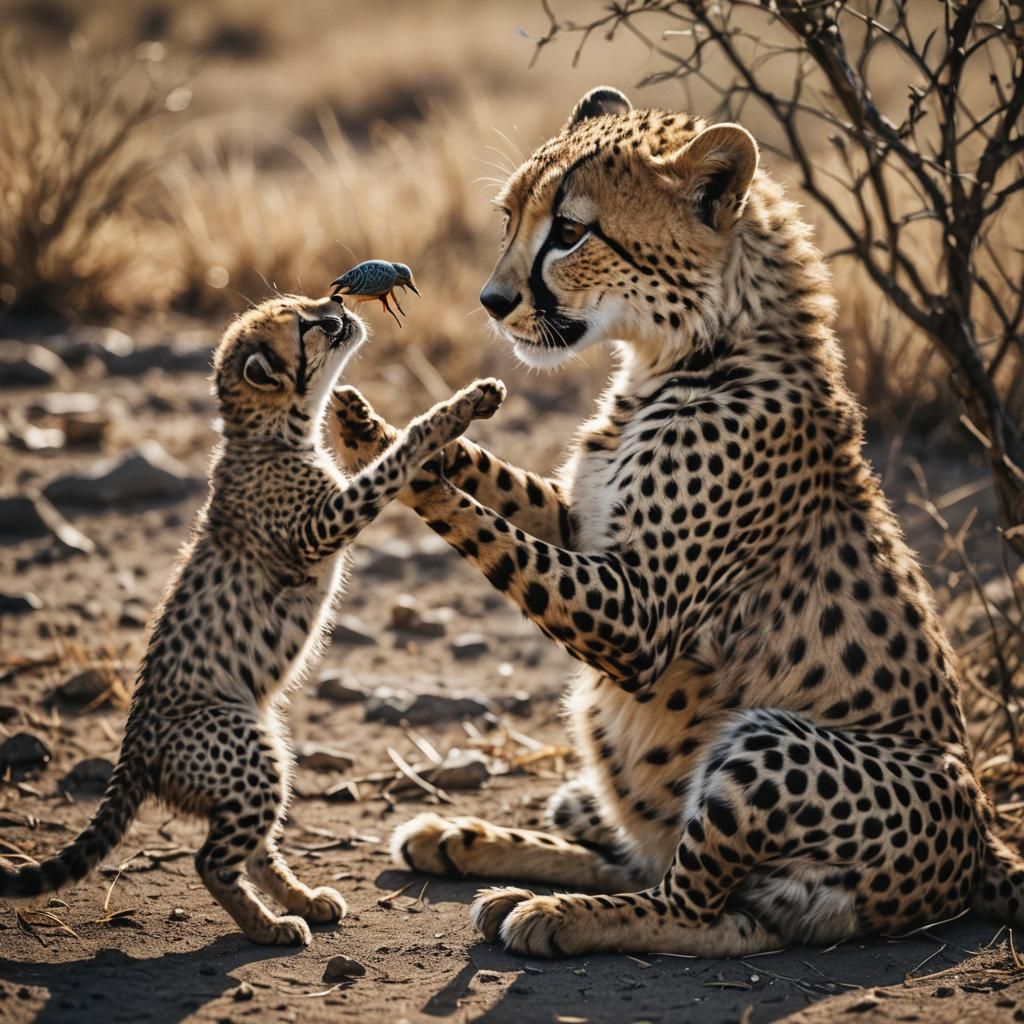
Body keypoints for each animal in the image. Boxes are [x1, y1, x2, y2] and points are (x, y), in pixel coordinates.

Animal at [0, 292, 505, 946]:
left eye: (307, 304)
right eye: (307, 323)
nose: (338, 301)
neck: (269, 431)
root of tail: (134, 749)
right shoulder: (320, 526)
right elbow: (392, 464)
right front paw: (451, 414)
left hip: (266, 749)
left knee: (254, 847)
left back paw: (305, 900)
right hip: (245, 749)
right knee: (211, 859)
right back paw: (271, 927)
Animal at [328, 86, 1024, 959]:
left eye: (570, 231)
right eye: (509, 218)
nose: (492, 302)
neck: (681, 352)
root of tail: (985, 837)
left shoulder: (639, 616)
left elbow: (490, 532)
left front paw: (395, 453)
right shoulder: (584, 527)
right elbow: (502, 493)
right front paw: (377, 422)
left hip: (767, 743)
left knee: (709, 912)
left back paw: (555, 911)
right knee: (648, 860)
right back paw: (472, 839)